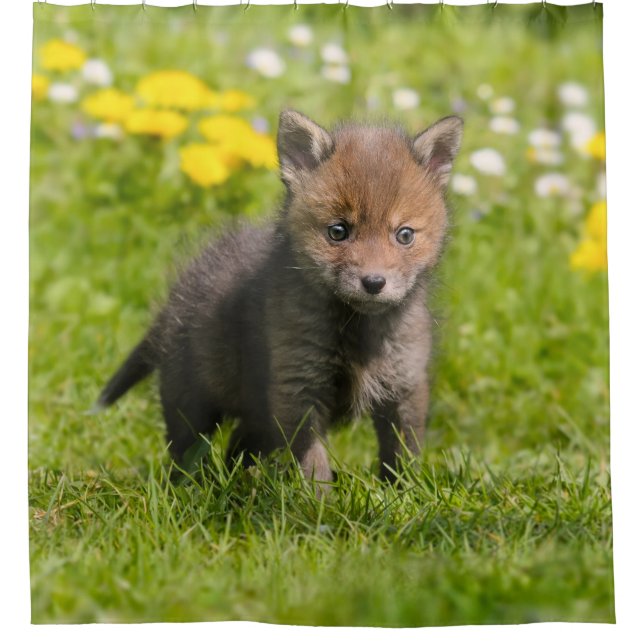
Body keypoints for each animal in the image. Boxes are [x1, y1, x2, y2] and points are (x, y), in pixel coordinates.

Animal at [96, 109, 463, 485]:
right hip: (192, 402)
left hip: (256, 418)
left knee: (237, 447)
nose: (374, 282)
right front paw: (319, 500)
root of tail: (176, 295)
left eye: (404, 235)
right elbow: (313, 462)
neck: (358, 332)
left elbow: (402, 454)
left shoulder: (404, 385)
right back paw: (191, 487)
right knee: (187, 451)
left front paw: (402, 493)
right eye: (338, 231)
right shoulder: (297, 387)